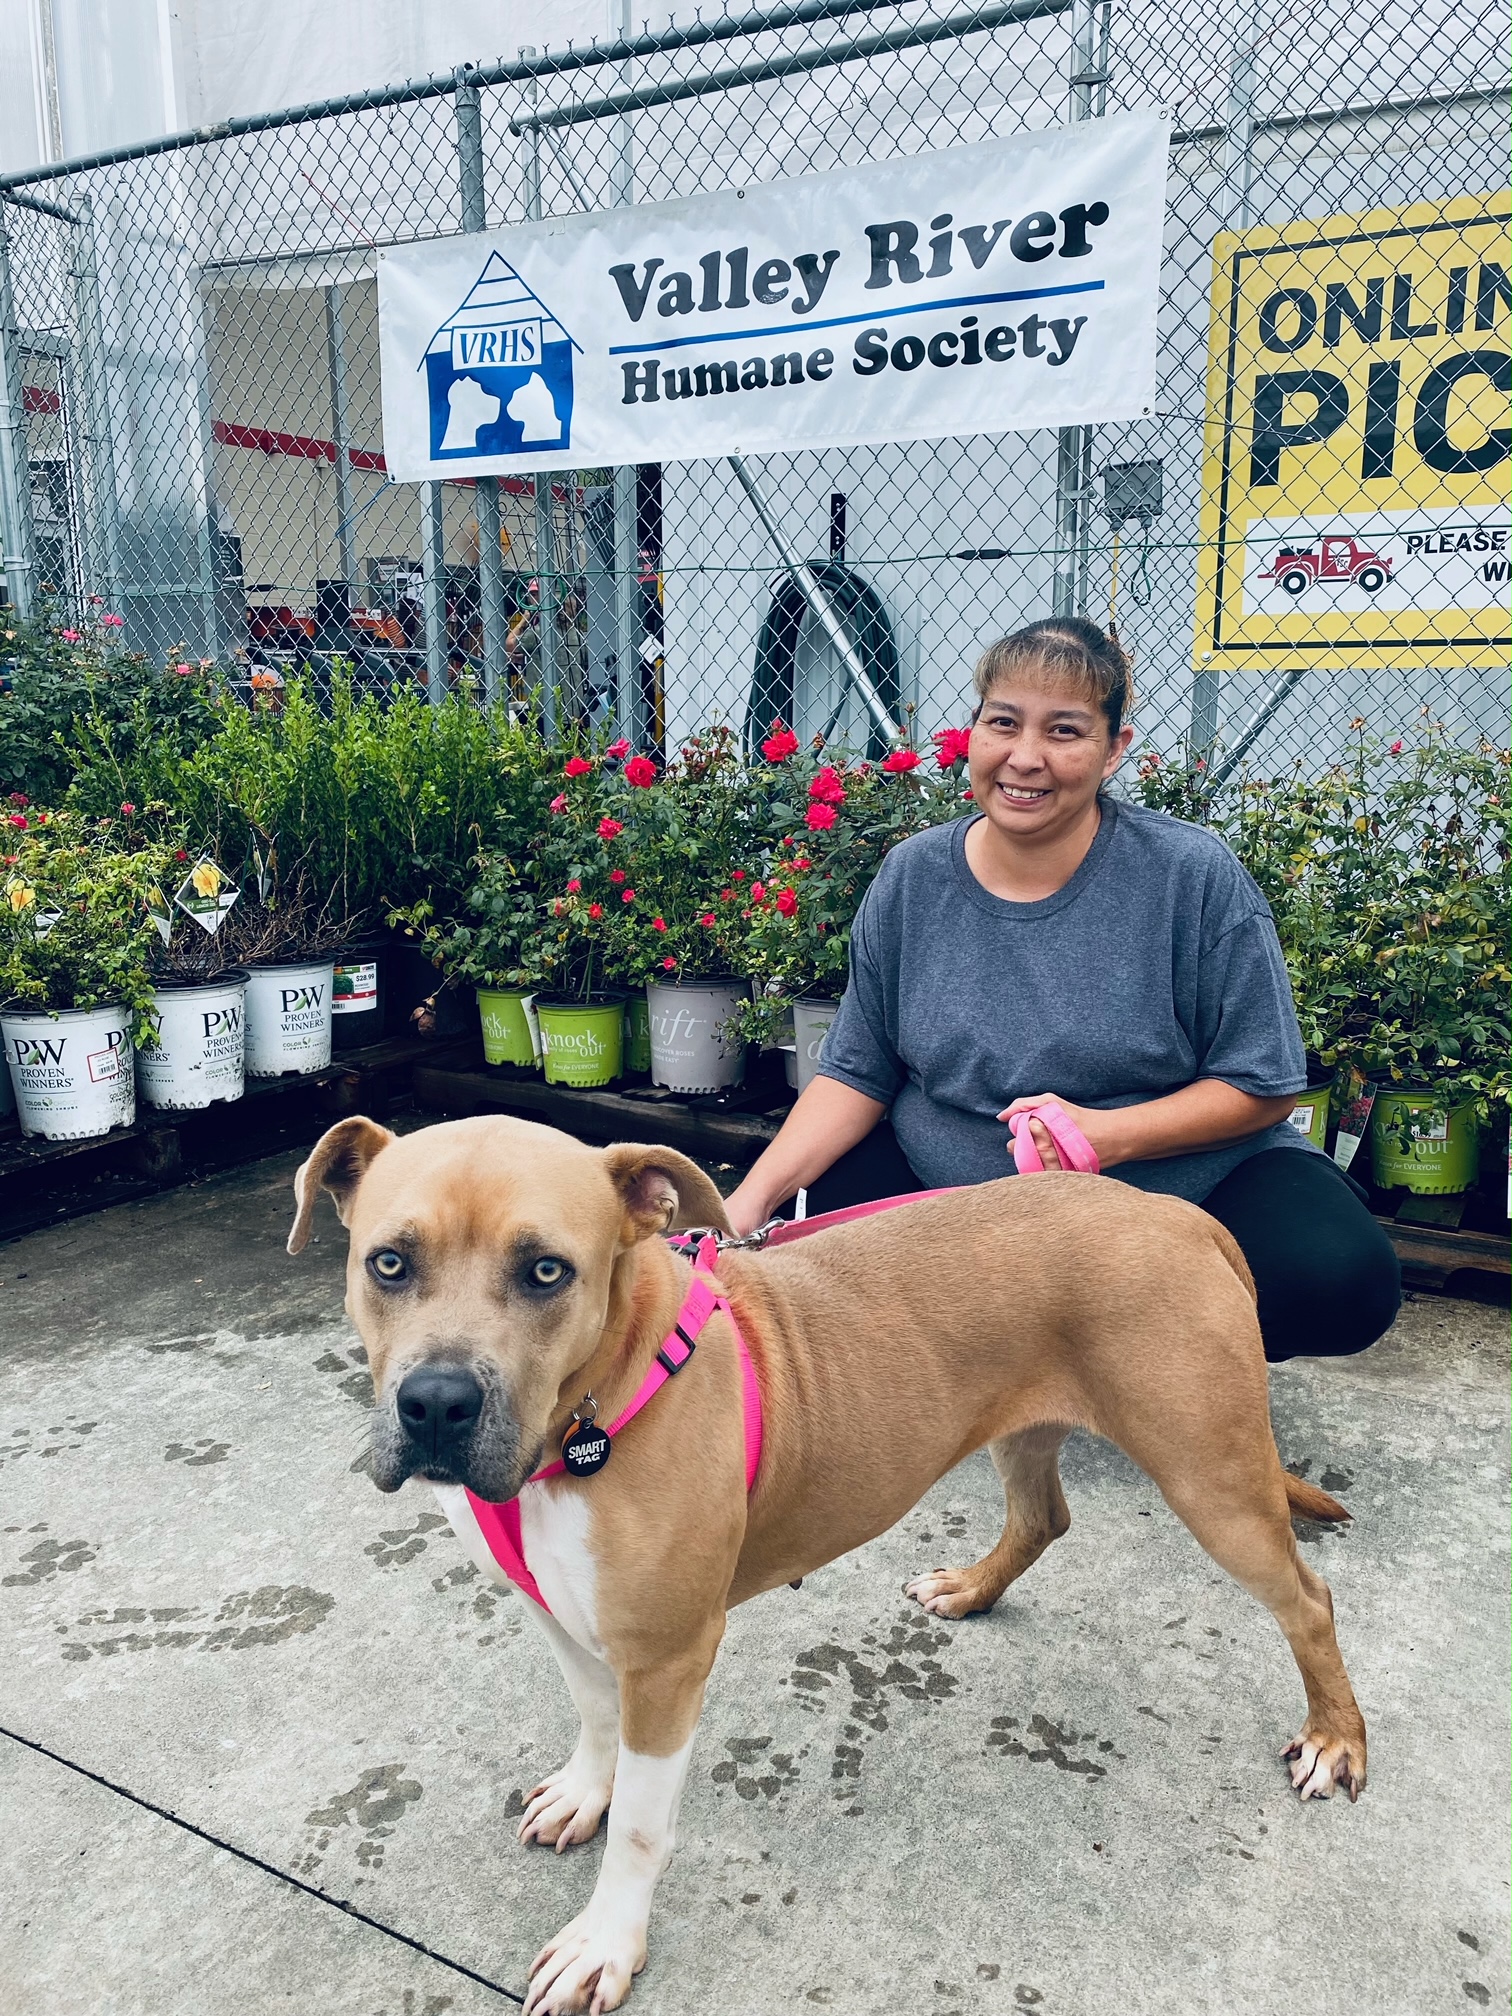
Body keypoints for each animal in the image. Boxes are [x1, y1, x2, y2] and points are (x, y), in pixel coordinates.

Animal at [290, 1120, 1370, 2016]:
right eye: (389, 1263)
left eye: (548, 1271)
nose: (435, 1403)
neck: (585, 1416)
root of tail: (1176, 1216)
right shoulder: (562, 1612)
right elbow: (593, 1719)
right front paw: (585, 1792)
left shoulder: (667, 1661)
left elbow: (642, 1824)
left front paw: (606, 1944)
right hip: (1026, 1426)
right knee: (1043, 1517)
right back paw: (971, 1588)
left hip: (1211, 1477)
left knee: (1308, 1600)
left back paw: (1335, 1739)